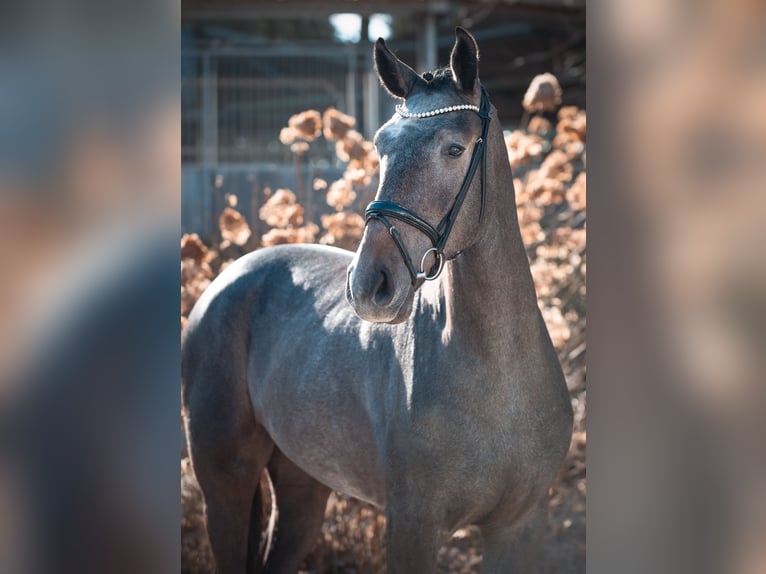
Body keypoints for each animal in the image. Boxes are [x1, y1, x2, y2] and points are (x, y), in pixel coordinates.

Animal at [183, 28, 572, 574]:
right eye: (381, 146)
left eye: (454, 149)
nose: (369, 285)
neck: (501, 377)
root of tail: (226, 278)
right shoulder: (412, 525)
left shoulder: (516, 529)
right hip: (226, 483)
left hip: (302, 486)